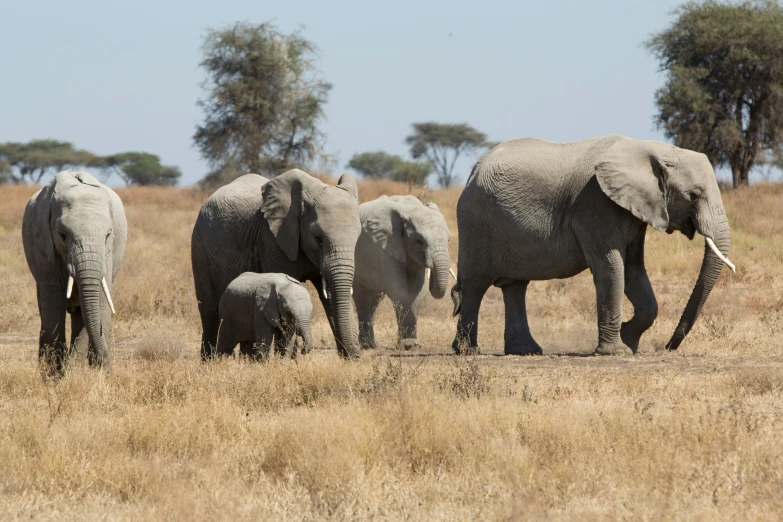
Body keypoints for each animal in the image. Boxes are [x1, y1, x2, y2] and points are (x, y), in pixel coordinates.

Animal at [22, 171, 127, 374]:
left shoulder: (108, 252)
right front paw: (54, 375)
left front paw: (81, 372)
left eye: (108, 235)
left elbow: (99, 300)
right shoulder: (43, 244)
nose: (110, 368)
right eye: (63, 235)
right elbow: (53, 301)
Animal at [191, 169, 362, 360]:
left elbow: (331, 296)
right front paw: (289, 360)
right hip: (200, 246)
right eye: (318, 238)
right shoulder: (272, 239)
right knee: (209, 309)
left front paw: (350, 359)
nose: (355, 356)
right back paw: (209, 361)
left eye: (357, 238)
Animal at [354, 195, 456, 350]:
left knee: (375, 299)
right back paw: (366, 346)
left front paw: (412, 344)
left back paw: (371, 345)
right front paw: (408, 345)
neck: (409, 209)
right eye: (419, 241)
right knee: (361, 297)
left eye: (448, 240)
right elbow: (397, 287)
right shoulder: (386, 246)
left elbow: (415, 288)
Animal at [454, 134, 736, 354]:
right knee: (475, 286)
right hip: (475, 221)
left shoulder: (634, 211)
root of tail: (473, 171)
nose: (667, 347)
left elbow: (634, 270)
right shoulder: (595, 203)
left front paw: (628, 340)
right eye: (694, 195)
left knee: (515, 286)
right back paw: (467, 351)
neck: (651, 148)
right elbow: (611, 267)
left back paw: (526, 351)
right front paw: (617, 351)